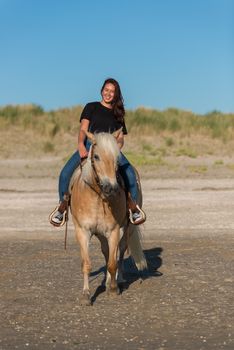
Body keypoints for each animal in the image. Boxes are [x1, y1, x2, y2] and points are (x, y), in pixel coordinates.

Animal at [69, 129, 147, 306]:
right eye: (96, 156)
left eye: (117, 158)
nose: (110, 187)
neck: (98, 198)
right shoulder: (82, 231)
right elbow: (87, 264)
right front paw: (86, 295)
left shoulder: (113, 231)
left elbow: (112, 263)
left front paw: (113, 289)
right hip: (100, 233)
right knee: (106, 251)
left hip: (128, 228)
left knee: (121, 250)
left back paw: (120, 279)